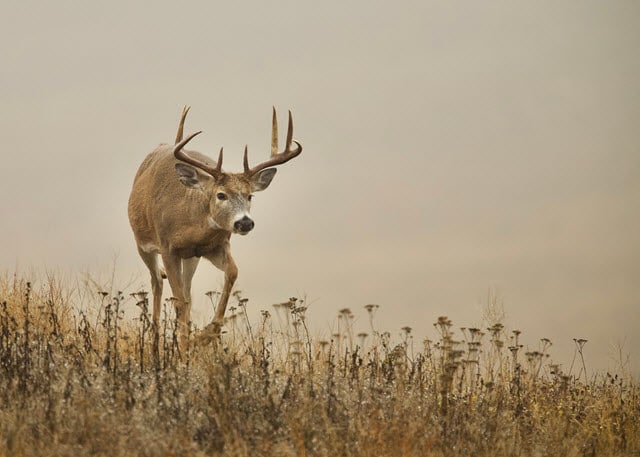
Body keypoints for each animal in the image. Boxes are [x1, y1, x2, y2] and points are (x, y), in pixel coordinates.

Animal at [129, 107, 304, 350]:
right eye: (221, 195)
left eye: (250, 196)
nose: (245, 222)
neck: (190, 225)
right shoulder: (167, 247)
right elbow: (178, 301)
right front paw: (184, 348)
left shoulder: (215, 245)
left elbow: (232, 272)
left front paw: (204, 335)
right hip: (143, 244)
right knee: (157, 282)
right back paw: (155, 344)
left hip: (191, 259)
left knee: (186, 292)